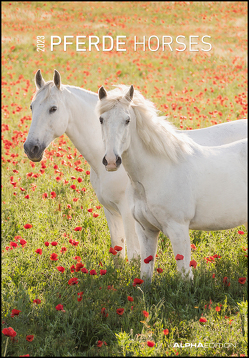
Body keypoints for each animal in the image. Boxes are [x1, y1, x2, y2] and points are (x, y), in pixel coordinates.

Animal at [23, 70, 247, 262]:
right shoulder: (110, 211)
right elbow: (117, 253)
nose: (31, 148)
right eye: (32, 107)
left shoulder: (128, 213)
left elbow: (134, 255)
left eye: (53, 108)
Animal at [97, 84, 247, 282]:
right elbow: (145, 276)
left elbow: (185, 278)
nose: (111, 161)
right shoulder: (146, 230)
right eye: (101, 119)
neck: (157, 172)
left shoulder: (178, 230)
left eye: (127, 120)